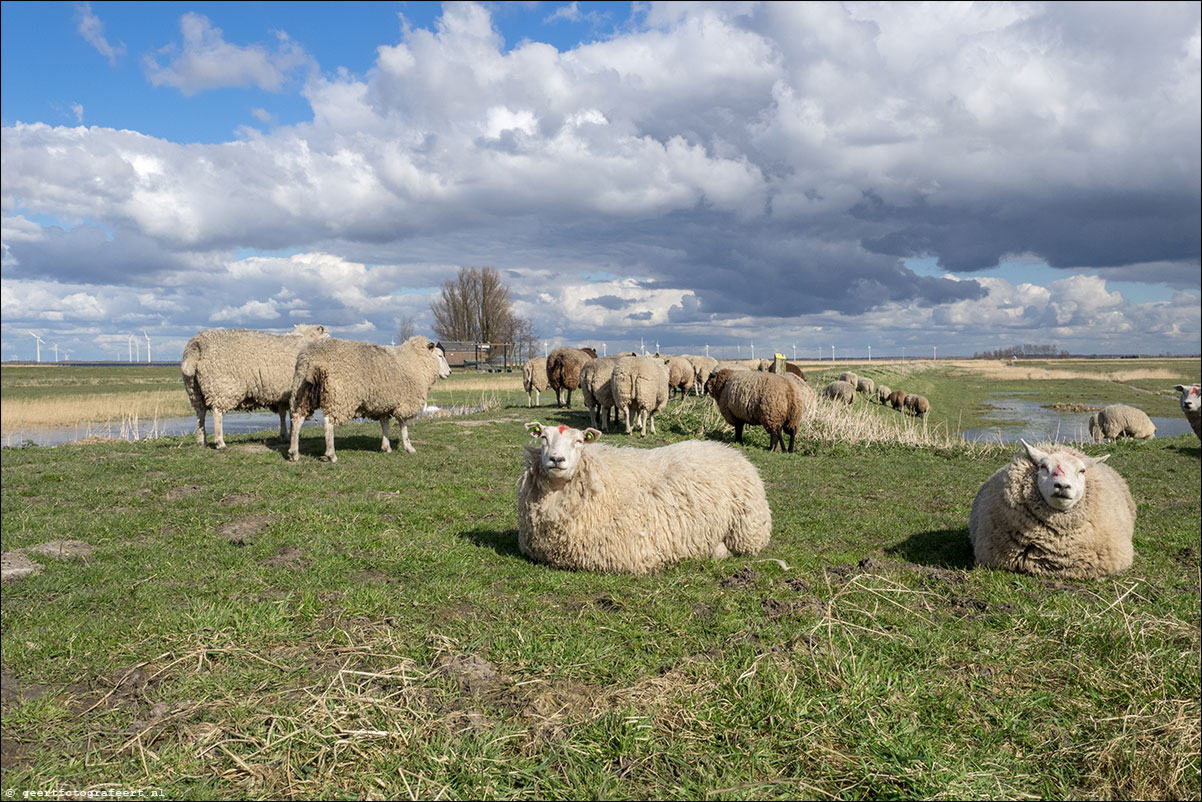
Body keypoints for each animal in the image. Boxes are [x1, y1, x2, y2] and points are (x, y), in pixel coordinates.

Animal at [180, 327, 329, 452]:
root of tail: (196, 345)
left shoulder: (281, 395)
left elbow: (283, 414)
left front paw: (285, 435)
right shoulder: (294, 392)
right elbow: (292, 415)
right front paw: (292, 435)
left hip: (194, 389)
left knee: (200, 413)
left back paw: (201, 441)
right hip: (221, 386)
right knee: (217, 413)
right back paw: (220, 442)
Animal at [287, 336, 451, 464]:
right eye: (440, 356)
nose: (449, 372)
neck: (416, 361)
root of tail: (312, 358)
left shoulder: (383, 403)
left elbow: (385, 424)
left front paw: (386, 447)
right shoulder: (405, 401)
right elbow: (403, 425)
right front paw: (409, 447)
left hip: (302, 392)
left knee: (297, 419)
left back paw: (294, 453)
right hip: (339, 395)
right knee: (328, 423)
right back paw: (331, 455)